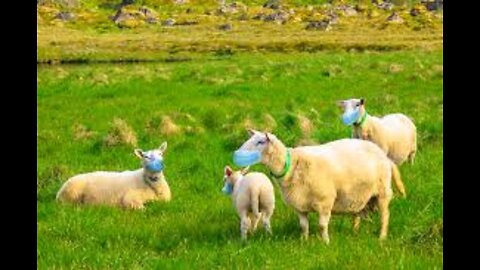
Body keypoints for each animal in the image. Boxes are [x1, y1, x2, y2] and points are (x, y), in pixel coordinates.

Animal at [232, 130, 404, 244]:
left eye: (260, 142)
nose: (237, 154)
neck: (292, 165)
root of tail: (384, 156)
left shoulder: (325, 201)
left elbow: (322, 225)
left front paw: (325, 243)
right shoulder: (299, 205)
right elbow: (303, 226)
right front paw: (304, 241)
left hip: (382, 192)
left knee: (385, 215)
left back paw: (382, 237)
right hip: (359, 194)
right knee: (358, 212)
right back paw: (355, 231)